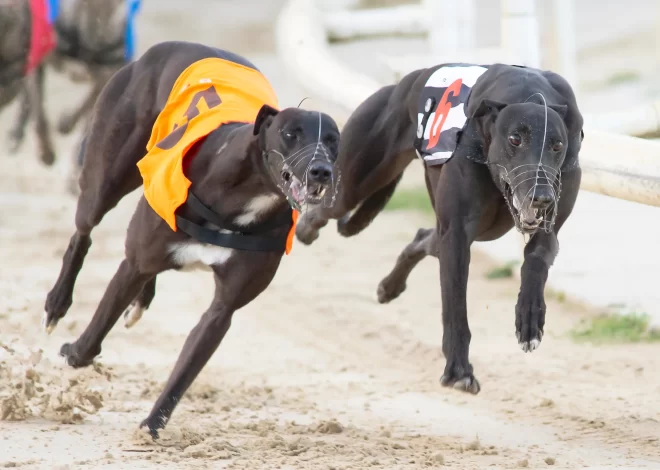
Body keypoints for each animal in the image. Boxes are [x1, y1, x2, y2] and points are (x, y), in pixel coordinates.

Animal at [43, 39, 340, 436]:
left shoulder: (223, 308)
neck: (245, 194)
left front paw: (152, 424)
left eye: (334, 141)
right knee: (84, 231)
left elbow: (185, 371)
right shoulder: (135, 261)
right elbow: (93, 339)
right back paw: (57, 303)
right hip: (105, 174)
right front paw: (74, 352)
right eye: (291, 133)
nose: (321, 170)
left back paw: (139, 301)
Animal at [296, 62, 584, 392]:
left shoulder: (548, 227)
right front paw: (459, 371)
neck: (529, 93)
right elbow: (456, 305)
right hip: (354, 184)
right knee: (328, 207)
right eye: (515, 139)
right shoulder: (457, 234)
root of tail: (402, 83)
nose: (543, 197)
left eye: (557, 145)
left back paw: (389, 286)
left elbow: (536, 259)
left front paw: (530, 320)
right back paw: (305, 228)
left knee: (424, 237)